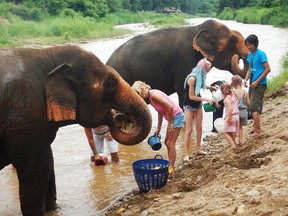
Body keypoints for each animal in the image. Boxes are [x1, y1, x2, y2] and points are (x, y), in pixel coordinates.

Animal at [0, 44, 153, 215]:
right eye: (110, 82)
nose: (120, 117)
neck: (47, 53)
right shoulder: (26, 119)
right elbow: (36, 168)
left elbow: (48, 163)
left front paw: (54, 211)